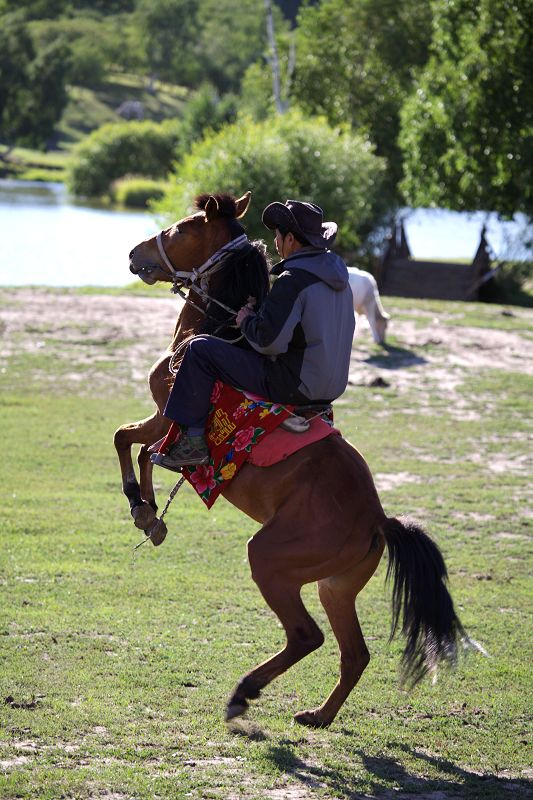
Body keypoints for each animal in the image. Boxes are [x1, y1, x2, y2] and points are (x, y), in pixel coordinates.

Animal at [116, 191, 474, 728]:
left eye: (181, 228)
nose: (136, 252)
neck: (217, 327)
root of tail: (378, 519)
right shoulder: (164, 419)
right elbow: (137, 449)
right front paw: (151, 515)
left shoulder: (168, 412)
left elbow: (132, 444)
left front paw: (143, 508)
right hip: (334, 587)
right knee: (354, 653)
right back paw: (319, 715)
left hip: (270, 560)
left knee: (308, 636)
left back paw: (244, 692)